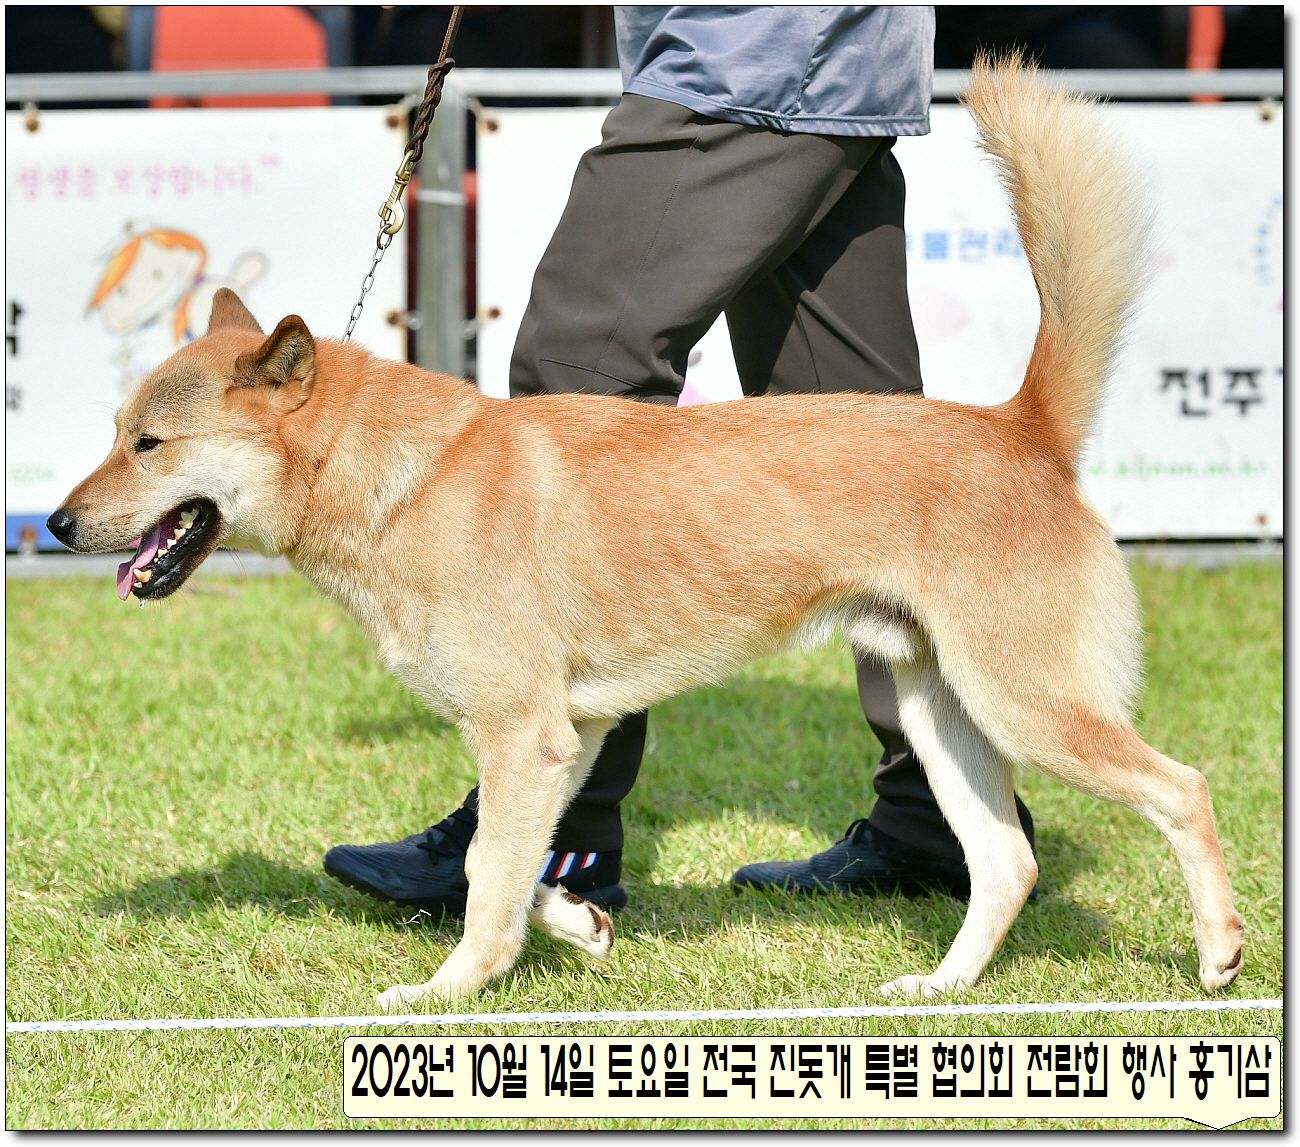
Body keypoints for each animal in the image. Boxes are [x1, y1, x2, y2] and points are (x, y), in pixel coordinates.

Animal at [49, 56, 1243, 1010]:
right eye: (114, 432)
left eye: (149, 444)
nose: (56, 522)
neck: (405, 472)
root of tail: (1020, 426)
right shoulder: (559, 738)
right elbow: (513, 865)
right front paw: (574, 922)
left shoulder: (521, 732)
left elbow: (486, 881)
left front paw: (444, 993)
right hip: (941, 709)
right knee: (1004, 864)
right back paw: (937, 988)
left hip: (1026, 701)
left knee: (1180, 788)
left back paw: (1219, 952)